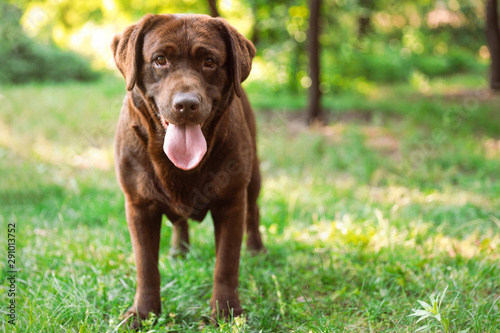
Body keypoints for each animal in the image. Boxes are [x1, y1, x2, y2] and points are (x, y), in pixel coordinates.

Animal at [110, 14, 266, 326]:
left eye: (209, 62)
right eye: (159, 60)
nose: (186, 104)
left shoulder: (231, 202)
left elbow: (226, 264)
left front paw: (227, 312)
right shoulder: (138, 204)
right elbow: (146, 266)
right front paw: (143, 313)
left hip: (253, 174)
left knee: (253, 210)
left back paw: (256, 250)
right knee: (179, 222)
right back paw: (179, 250)